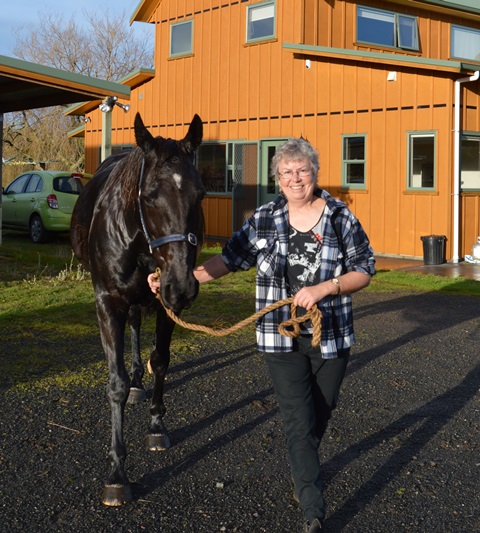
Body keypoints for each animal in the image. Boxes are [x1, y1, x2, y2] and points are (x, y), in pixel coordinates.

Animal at [70, 112, 205, 506]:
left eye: (200, 194)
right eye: (149, 196)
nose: (183, 286)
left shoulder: (164, 304)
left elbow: (160, 360)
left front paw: (157, 425)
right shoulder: (107, 302)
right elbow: (114, 384)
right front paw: (117, 472)